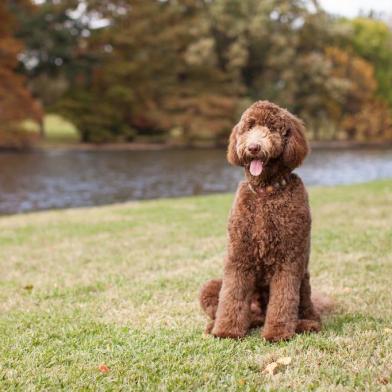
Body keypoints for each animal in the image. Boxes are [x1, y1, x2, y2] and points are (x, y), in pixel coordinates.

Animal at [199, 102, 324, 344]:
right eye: (248, 128)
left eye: (272, 128)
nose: (254, 147)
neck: (266, 192)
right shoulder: (238, 255)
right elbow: (232, 296)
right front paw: (226, 331)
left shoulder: (289, 260)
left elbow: (283, 300)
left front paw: (277, 333)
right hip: (210, 287)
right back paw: (220, 324)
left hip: (304, 283)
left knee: (307, 312)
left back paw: (305, 324)